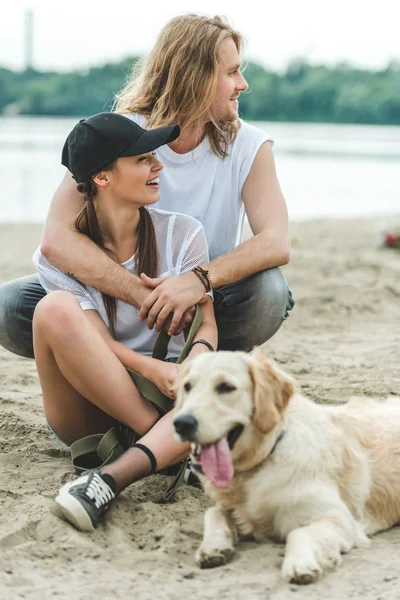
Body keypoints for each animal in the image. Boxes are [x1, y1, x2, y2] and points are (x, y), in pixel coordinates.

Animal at [173, 350, 400, 584]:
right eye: (187, 387)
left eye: (225, 387)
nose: (181, 423)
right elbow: (213, 512)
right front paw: (213, 547)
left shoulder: (339, 517)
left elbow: (297, 532)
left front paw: (300, 564)